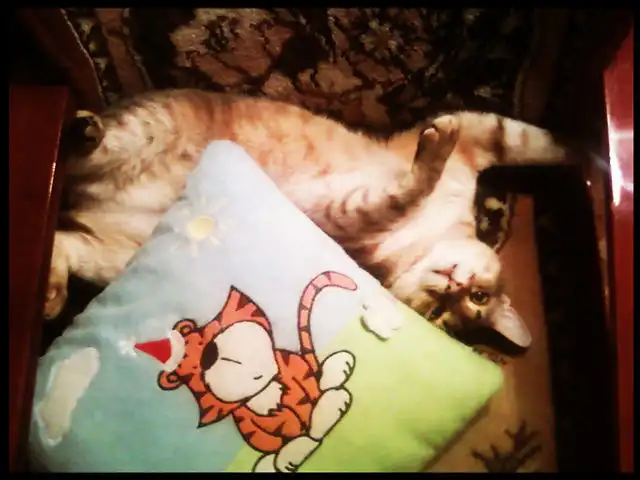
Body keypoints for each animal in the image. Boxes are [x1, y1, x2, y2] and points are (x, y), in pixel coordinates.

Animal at [48, 89, 571, 348]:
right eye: (477, 297)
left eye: (443, 315)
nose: (454, 286)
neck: (424, 240)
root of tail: (87, 198)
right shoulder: (474, 138)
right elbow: (533, 140)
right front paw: (584, 152)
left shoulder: (343, 217)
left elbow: (400, 192)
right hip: (143, 129)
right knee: (87, 147)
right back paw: (82, 128)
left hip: (117, 256)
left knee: (64, 240)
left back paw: (52, 294)